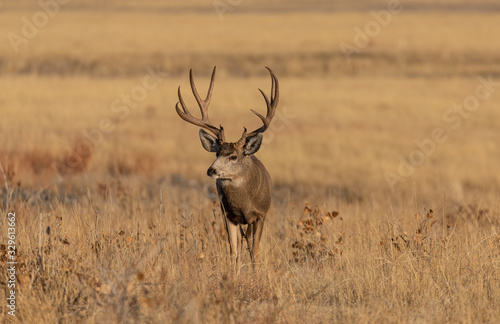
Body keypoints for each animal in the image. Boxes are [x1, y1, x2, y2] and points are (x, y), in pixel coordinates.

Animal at [175, 66, 278, 270]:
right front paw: (234, 275)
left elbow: (255, 252)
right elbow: (234, 252)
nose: (211, 170)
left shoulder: (260, 215)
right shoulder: (229, 216)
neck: (244, 203)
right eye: (216, 154)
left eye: (233, 156)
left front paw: (255, 275)